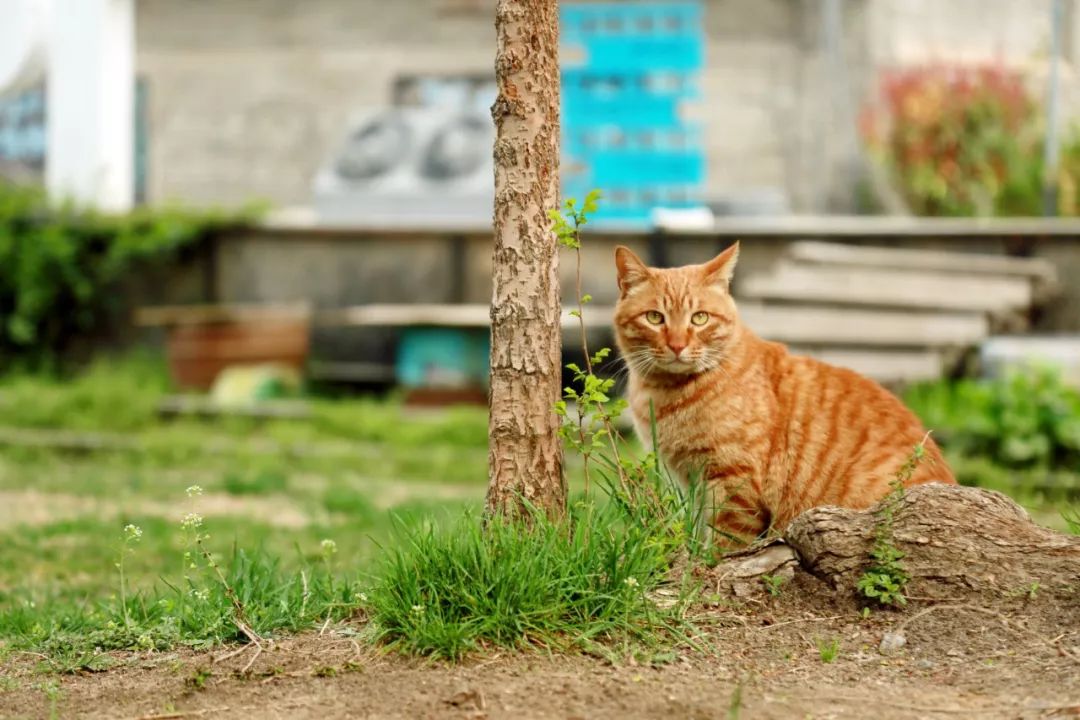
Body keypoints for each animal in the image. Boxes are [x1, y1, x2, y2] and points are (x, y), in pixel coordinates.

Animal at [613, 241, 959, 546]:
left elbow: (724, 545)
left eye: (700, 318)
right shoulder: (693, 483)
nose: (677, 345)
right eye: (654, 317)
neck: (669, 393)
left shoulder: (734, 482)